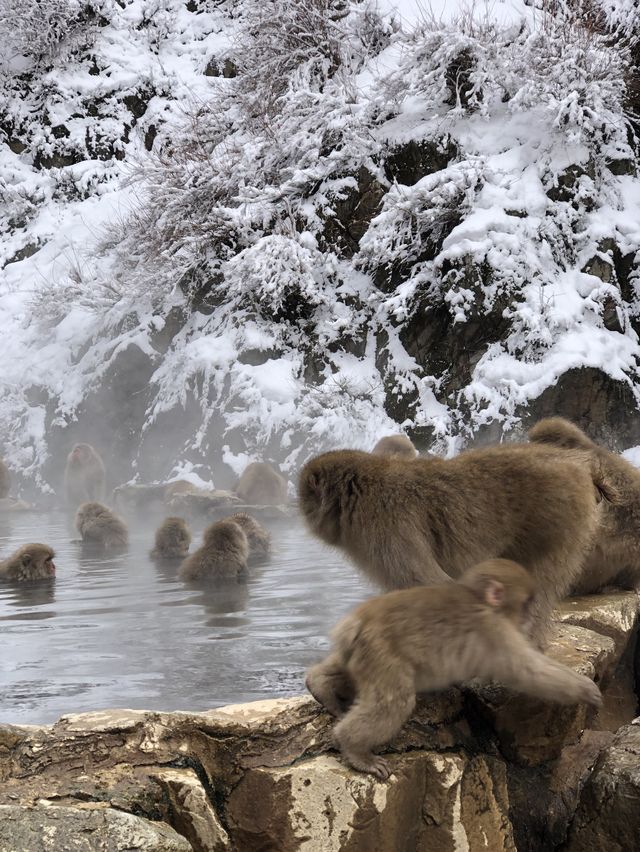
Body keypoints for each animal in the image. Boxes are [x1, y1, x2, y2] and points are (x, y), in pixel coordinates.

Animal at [300, 442, 608, 644]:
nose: (304, 516)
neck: (361, 491)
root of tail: (577, 465)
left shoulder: (386, 525)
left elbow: (427, 581)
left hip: (557, 523)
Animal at [308, 560, 604, 780]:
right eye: (526, 603)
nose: (530, 618)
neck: (479, 598)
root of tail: (358, 622)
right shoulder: (496, 630)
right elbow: (528, 671)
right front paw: (585, 688)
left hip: (362, 652)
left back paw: (319, 684)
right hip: (382, 652)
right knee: (393, 702)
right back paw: (354, 749)